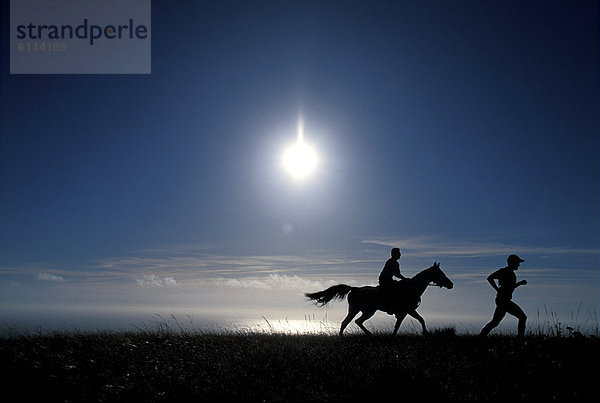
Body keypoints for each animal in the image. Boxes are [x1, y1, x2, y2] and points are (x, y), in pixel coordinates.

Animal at [308, 264, 452, 336]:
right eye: (440, 273)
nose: (451, 284)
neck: (412, 287)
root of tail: (354, 289)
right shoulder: (409, 310)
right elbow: (421, 319)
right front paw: (425, 333)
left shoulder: (403, 312)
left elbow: (398, 325)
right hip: (364, 311)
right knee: (352, 322)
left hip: (360, 310)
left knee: (349, 322)